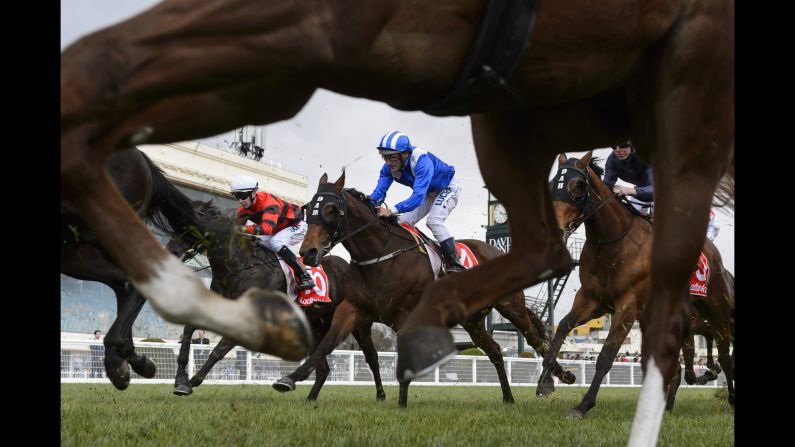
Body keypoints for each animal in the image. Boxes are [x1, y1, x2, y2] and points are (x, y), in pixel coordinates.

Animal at [166, 202, 386, 402]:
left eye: (188, 224)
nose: (171, 251)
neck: (240, 266)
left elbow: (218, 351)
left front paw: (193, 381)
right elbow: (188, 331)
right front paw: (180, 380)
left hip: (357, 322)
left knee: (372, 358)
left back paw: (381, 395)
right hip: (317, 327)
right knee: (323, 367)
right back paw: (309, 398)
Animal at [282, 172, 564, 410]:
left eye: (330, 210)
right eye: (308, 209)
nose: (308, 252)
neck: (381, 254)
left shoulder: (405, 315)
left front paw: (402, 403)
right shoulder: (354, 309)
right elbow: (325, 344)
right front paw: (291, 378)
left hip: (511, 307)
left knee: (535, 339)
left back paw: (558, 378)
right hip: (473, 322)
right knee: (495, 351)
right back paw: (508, 397)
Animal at [548, 153, 732, 420]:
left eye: (577, 186)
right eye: (554, 184)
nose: (557, 229)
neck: (614, 243)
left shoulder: (629, 304)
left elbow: (606, 355)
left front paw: (583, 405)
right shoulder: (592, 300)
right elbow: (561, 329)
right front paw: (555, 378)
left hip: (717, 311)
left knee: (725, 355)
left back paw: (728, 393)